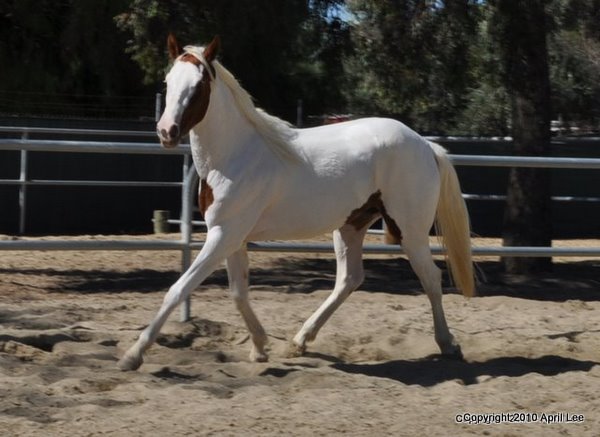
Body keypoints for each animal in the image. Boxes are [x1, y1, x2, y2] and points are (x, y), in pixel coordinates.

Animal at [116, 34, 474, 370]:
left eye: (199, 85)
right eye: (168, 82)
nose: (167, 131)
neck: (235, 156)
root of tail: (425, 144)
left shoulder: (223, 235)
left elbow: (179, 289)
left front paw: (133, 355)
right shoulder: (233, 238)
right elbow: (238, 293)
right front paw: (260, 348)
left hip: (409, 231)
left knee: (431, 278)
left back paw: (448, 344)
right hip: (350, 226)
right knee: (349, 279)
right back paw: (300, 340)